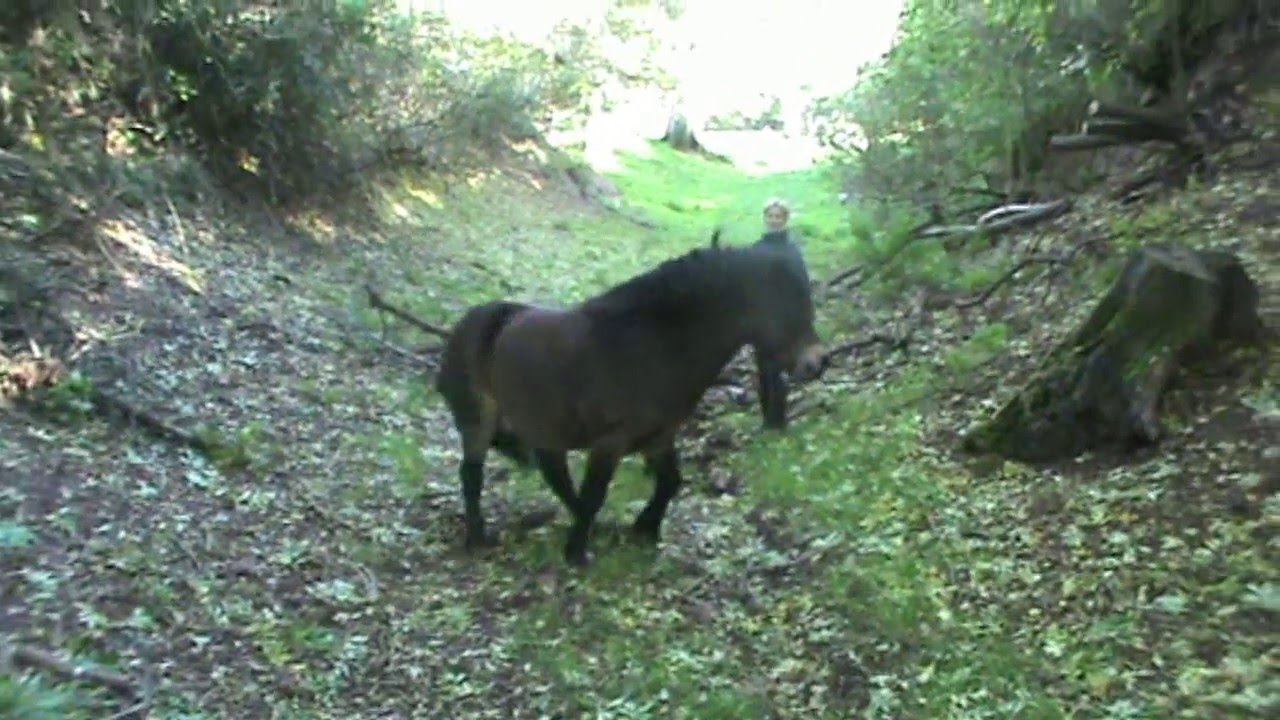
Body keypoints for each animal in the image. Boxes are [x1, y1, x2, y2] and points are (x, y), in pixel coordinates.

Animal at [434, 242, 826, 566]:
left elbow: (670, 482)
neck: (652, 346)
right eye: (784, 300)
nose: (818, 362)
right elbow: (595, 494)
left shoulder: (659, 437)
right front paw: (577, 553)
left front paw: (643, 530)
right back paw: (478, 538)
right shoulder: (611, 442)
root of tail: (470, 322)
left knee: (553, 472)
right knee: (472, 475)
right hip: (479, 421)